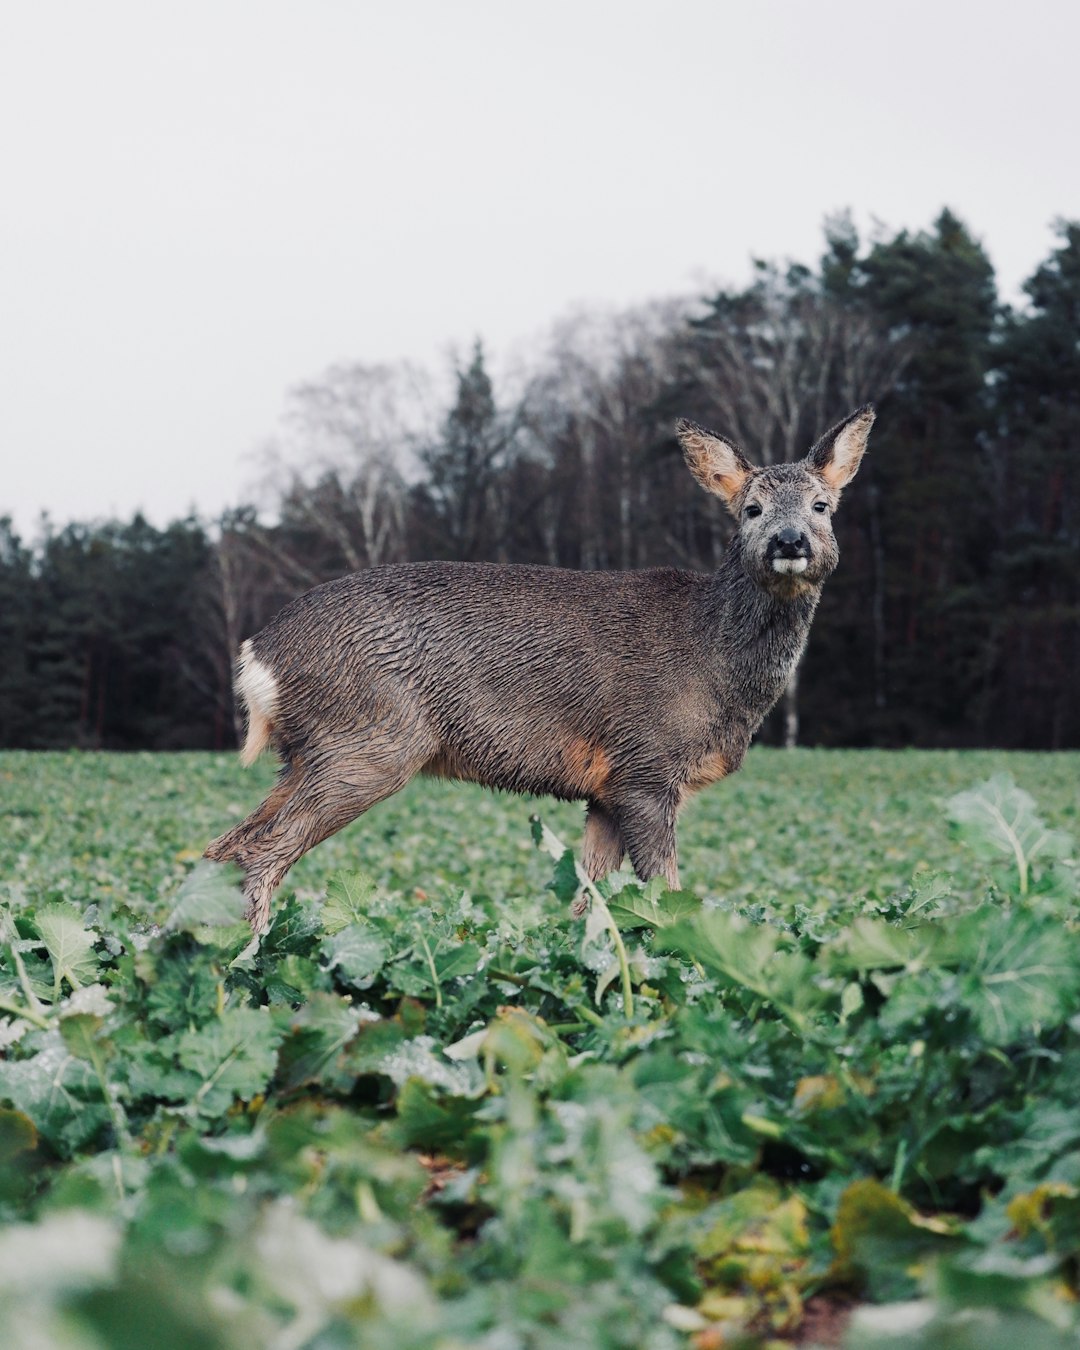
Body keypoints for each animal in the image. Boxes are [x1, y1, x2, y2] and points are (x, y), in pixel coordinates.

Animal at [206, 402, 874, 928]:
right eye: (752, 509)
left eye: (822, 505)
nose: (790, 542)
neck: (716, 664)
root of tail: (260, 651)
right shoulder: (647, 765)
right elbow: (665, 892)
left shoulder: (607, 787)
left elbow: (592, 899)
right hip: (367, 739)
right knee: (260, 853)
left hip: (308, 752)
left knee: (223, 847)